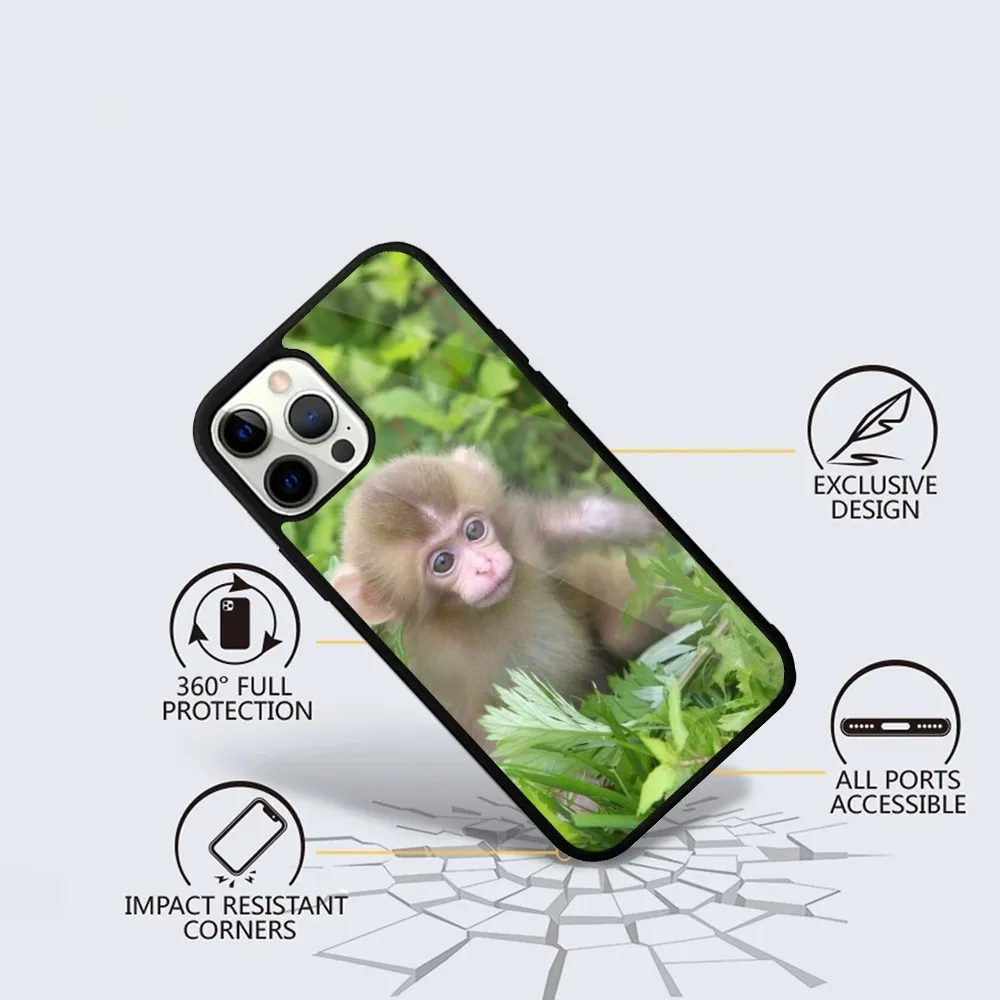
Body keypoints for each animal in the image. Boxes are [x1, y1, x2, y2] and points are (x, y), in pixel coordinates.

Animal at [331, 446, 673, 746]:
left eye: (474, 530)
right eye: (442, 562)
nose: (486, 567)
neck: (483, 612)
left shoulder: (525, 541)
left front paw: (632, 523)